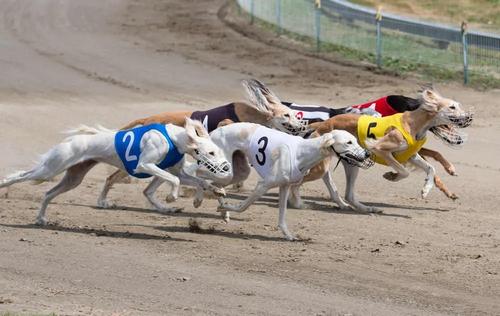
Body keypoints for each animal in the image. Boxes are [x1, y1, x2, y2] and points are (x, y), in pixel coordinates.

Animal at [0, 118, 230, 225]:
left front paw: (204, 196)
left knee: (48, 194)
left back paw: (41, 219)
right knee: (22, 176)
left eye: (218, 151)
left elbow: (197, 181)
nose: (226, 168)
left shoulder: (179, 172)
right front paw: (171, 197)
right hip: (50, 169)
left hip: (74, 178)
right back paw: (4, 183)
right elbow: (173, 179)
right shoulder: (144, 165)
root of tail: (72, 140)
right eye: (211, 152)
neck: (174, 139)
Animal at [94, 79, 304, 207]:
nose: (301, 126)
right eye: (286, 115)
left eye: (294, 114)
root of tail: (148, 119)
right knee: (111, 177)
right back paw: (103, 201)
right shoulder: (225, 124)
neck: (252, 114)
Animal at [207, 122, 372, 241]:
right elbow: (243, 206)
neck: (302, 152)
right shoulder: (263, 185)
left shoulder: (284, 186)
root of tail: (214, 131)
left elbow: (282, 216)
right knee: (210, 183)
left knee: (217, 186)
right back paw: (220, 208)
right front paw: (227, 208)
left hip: (239, 173)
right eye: (348, 142)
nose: (367, 154)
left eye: (356, 140)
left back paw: (224, 213)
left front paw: (288, 235)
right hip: (226, 172)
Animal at [296, 87, 472, 214]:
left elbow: (431, 168)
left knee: (348, 194)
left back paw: (364, 208)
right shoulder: (381, 149)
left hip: (351, 163)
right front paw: (392, 176)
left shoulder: (411, 155)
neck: (414, 124)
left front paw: (426, 190)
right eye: (452, 107)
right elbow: (404, 172)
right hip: (326, 163)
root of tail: (322, 124)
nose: (468, 118)